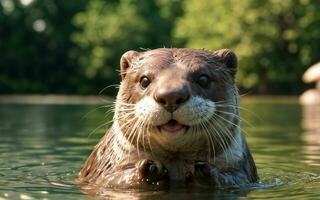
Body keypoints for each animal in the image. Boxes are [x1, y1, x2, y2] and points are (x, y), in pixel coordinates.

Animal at [76, 47, 258, 193]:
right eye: (144, 80)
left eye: (203, 79)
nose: (171, 95)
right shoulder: (103, 170)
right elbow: (110, 178)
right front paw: (148, 170)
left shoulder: (244, 171)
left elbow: (235, 178)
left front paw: (206, 171)